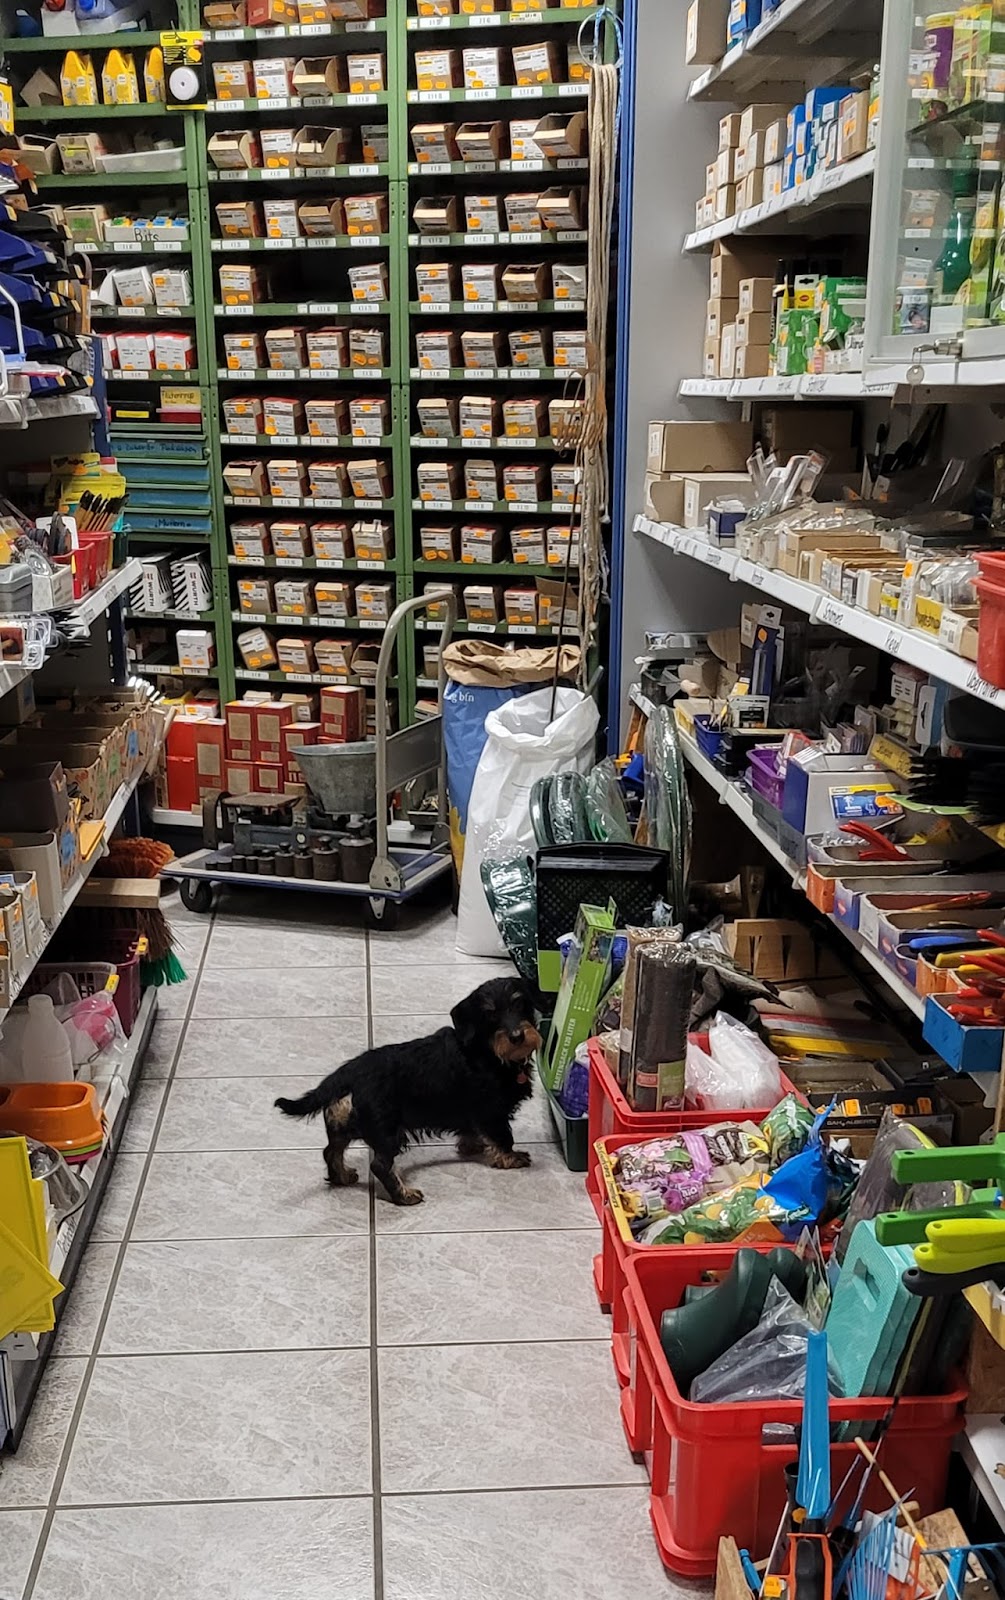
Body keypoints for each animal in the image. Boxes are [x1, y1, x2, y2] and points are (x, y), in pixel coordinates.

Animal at [274, 975, 542, 1205]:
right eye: (489, 1014)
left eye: (520, 1003)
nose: (517, 1036)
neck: (486, 1050)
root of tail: (348, 1073)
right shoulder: (493, 1111)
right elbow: (504, 1137)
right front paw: (511, 1158)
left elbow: (471, 1130)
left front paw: (472, 1146)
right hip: (387, 1131)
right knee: (379, 1166)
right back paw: (404, 1195)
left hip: (343, 1125)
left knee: (331, 1151)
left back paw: (342, 1176)